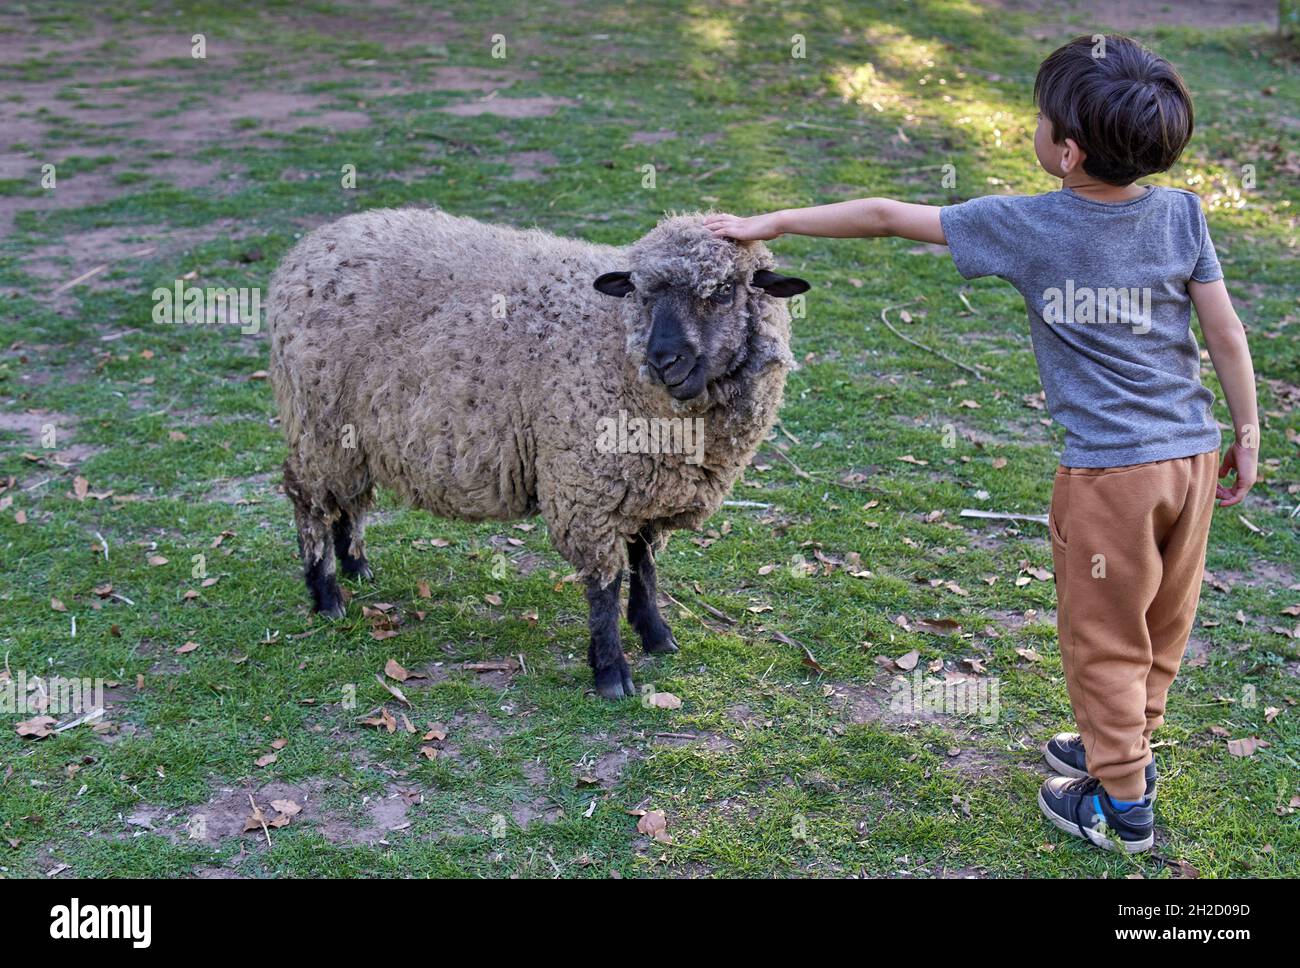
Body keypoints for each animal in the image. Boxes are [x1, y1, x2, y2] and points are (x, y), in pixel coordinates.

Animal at [269, 209, 806, 696]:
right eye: (640, 292)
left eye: (724, 292)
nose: (663, 361)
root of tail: (308, 249)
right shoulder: (587, 487)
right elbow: (606, 584)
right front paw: (611, 672)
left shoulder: (647, 485)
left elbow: (646, 566)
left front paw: (655, 634)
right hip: (318, 424)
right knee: (309, 500)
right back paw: (326, 594)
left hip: (351, 437)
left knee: (347, 499)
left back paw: (356, 565)